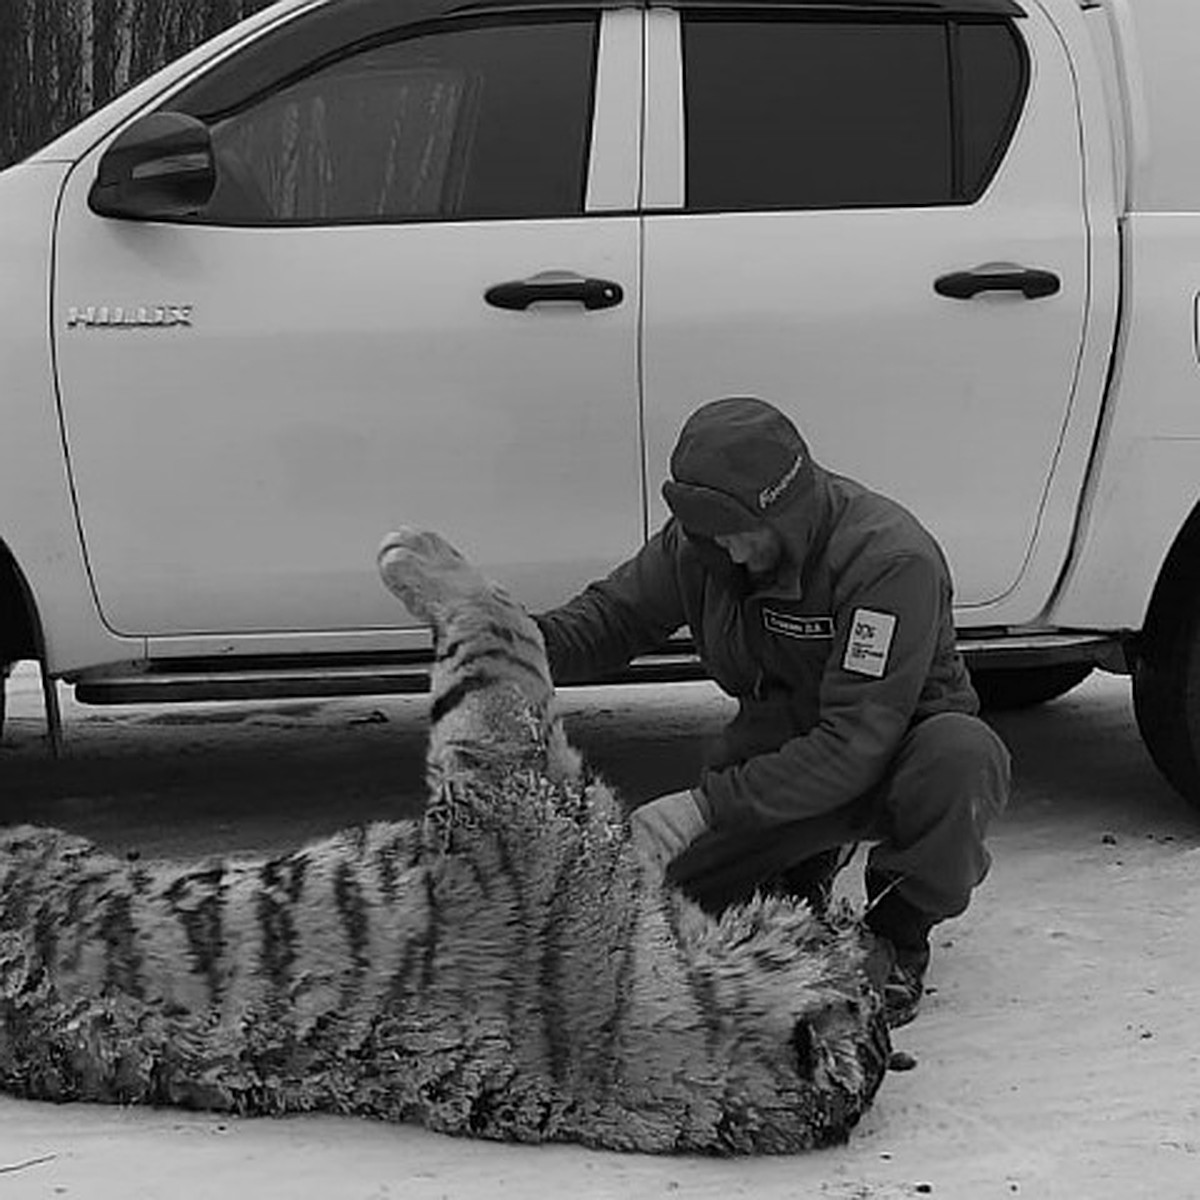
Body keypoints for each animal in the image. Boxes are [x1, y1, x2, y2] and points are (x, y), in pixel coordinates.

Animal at [0, 525, 883, 1152]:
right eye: (850, 953)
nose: (856, 919)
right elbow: (512, 624)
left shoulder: (508, 766)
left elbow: (499, 628)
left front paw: (413, 550)